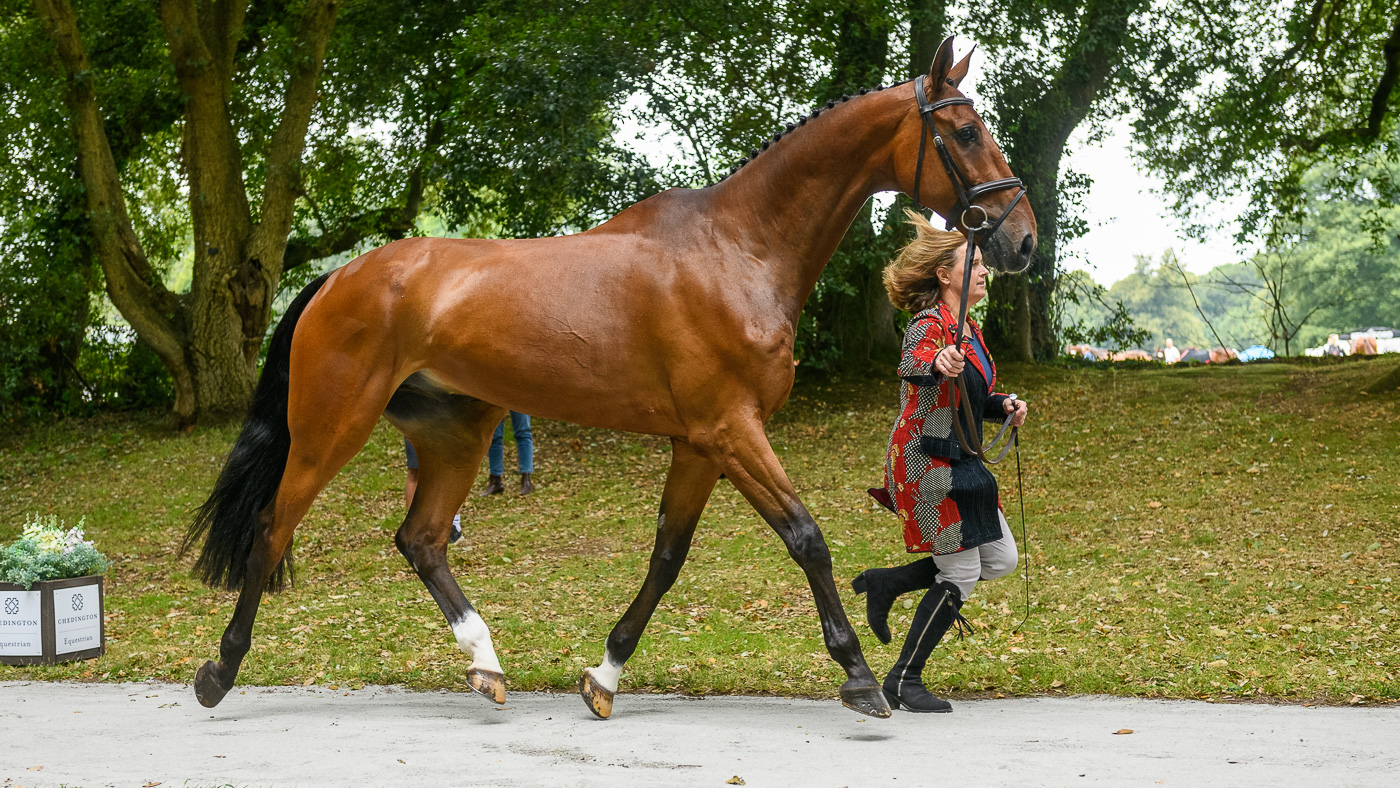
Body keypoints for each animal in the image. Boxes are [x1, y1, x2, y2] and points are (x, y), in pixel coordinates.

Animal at [182, 37, 1037, 720]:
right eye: (965, 132)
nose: (1022, 241)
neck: (737, 250)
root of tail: (340, 278)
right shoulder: (731, 431)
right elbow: (805, 537)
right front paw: (857, 674)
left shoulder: (700, 444)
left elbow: (667, 556)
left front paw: (605, 674)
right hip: (332, 426)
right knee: (273, 528)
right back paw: (220, 671)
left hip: (457, 433)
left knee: (420, 540)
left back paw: (487, 666)